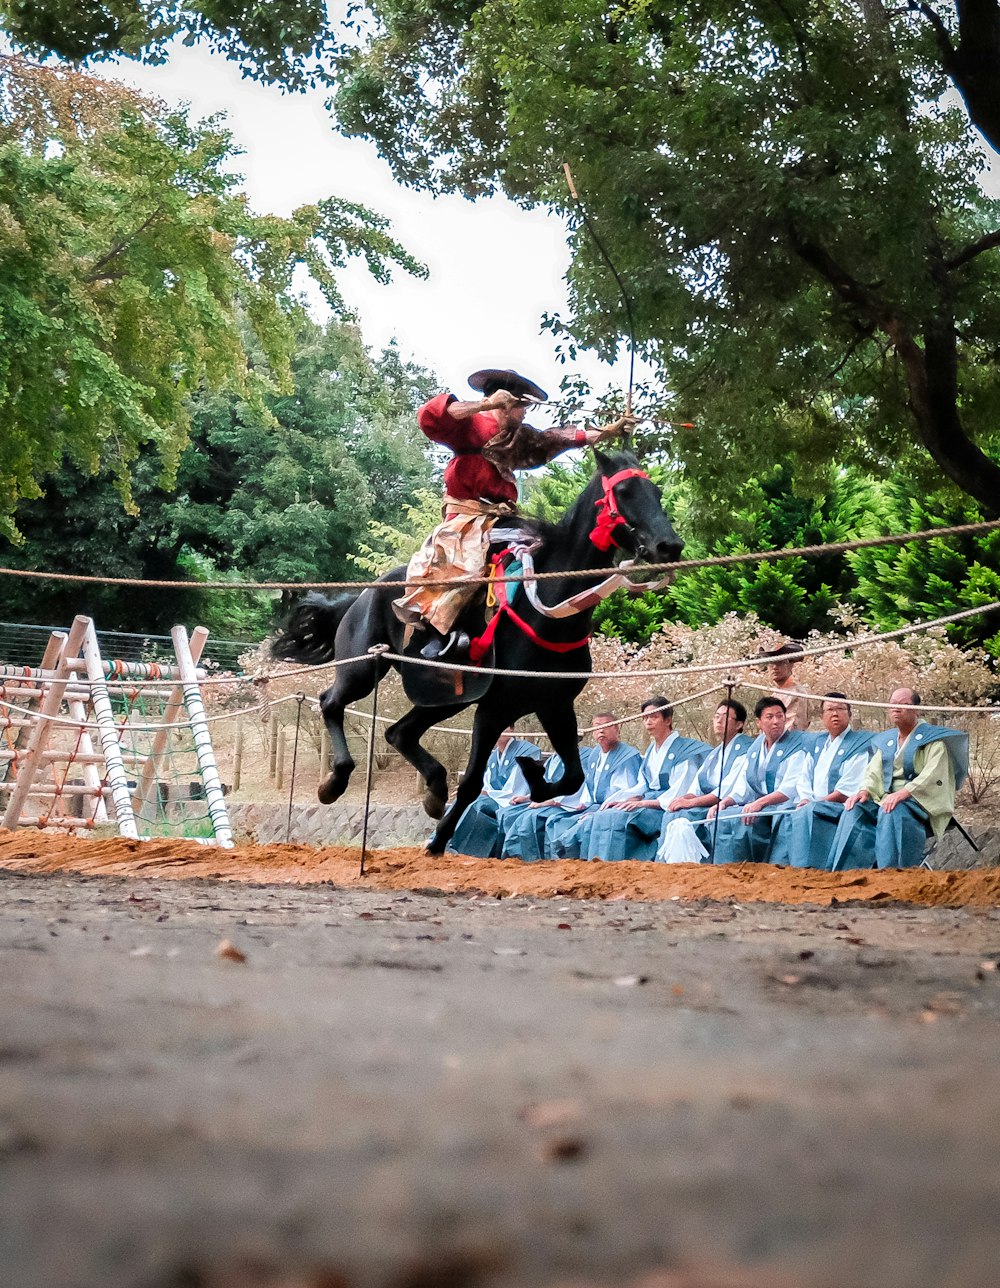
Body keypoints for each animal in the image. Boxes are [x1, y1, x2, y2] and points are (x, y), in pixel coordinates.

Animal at [269, 448, 685, 850]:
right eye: (625, 492)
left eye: (657, 493)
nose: (670, 545)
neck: (548, 609)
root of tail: (360, 595)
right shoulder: (494, 709)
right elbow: (471, 783)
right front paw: (437, 842)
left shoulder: (554, 704)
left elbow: (572, 777)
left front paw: (532, 775)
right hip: (363, 668)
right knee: (331, 702)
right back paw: (335, 781)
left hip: (446, 696)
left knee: (399, 733)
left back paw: (435, 790)